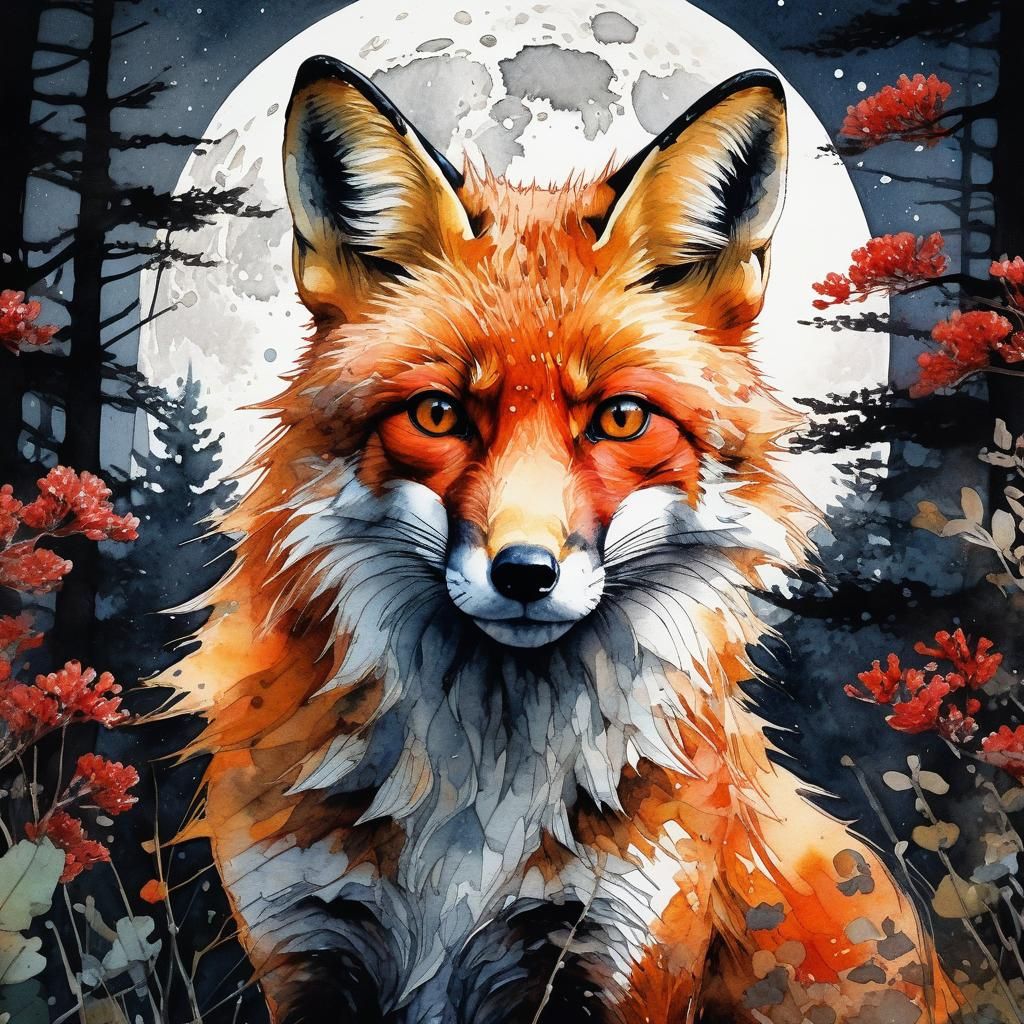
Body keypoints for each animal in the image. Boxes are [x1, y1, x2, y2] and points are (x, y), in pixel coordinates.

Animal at [168, 53, 962, 1024]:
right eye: (439, 414)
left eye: (620, 418)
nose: (524, 573)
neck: (477, 799)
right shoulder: (305, 947)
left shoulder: (619, 954)